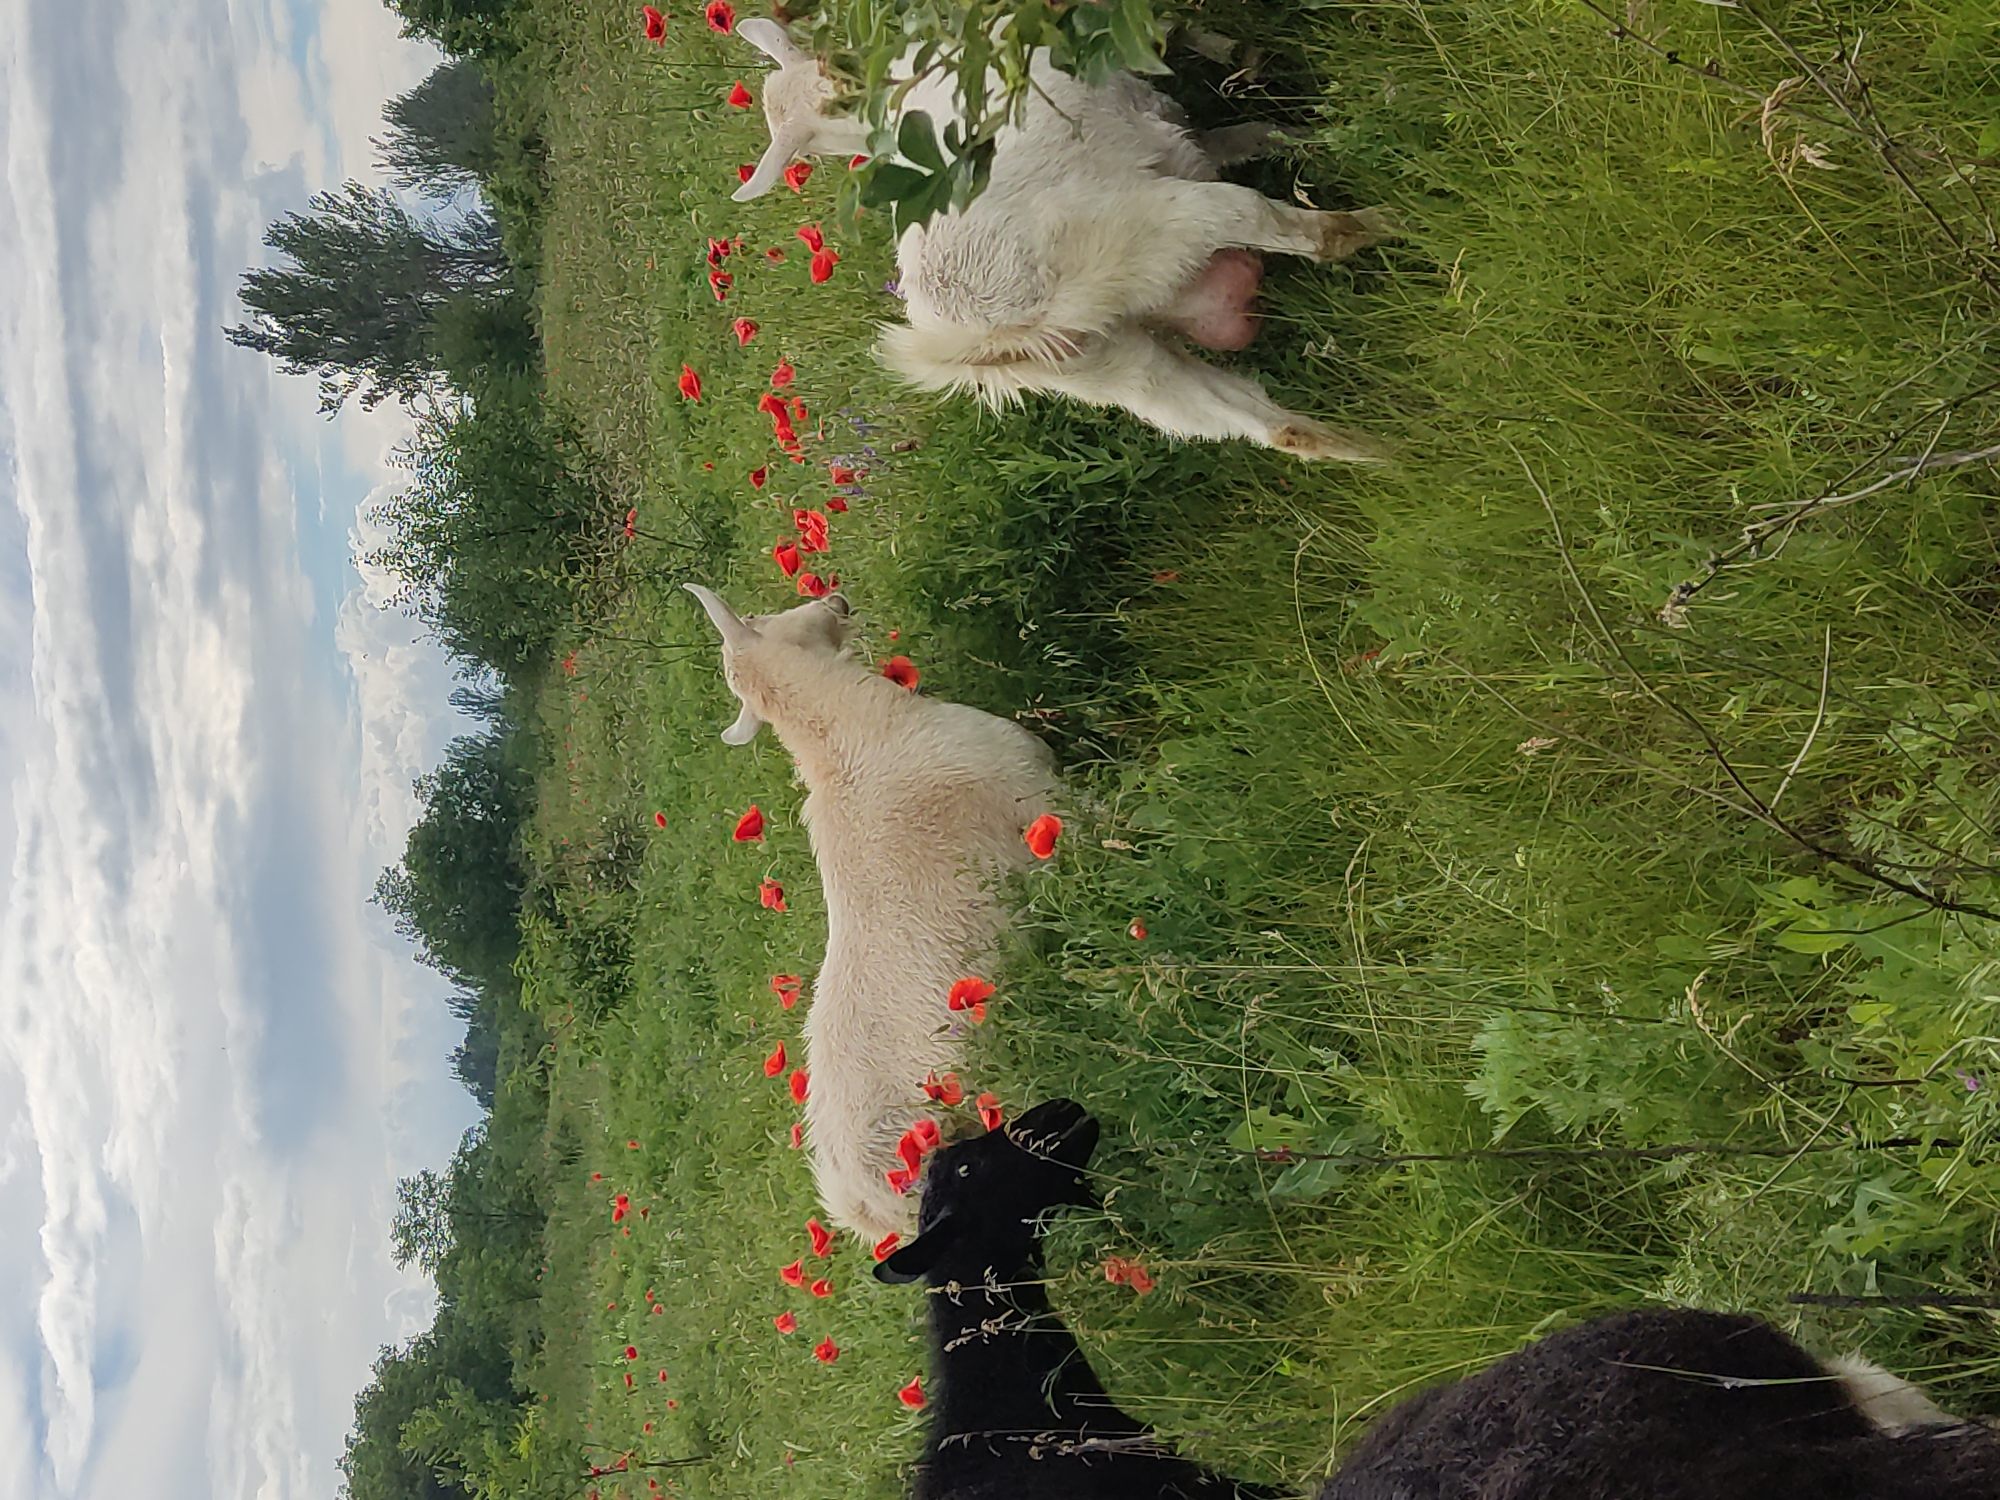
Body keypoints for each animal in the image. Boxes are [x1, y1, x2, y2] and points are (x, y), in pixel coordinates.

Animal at [730, 18, 1393, 463]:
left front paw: (1307, 129)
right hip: (1156, 226)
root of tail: (977, 334)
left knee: (1265, 424)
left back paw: (1389, 453)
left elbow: (1250, 133)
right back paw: (1393, 216)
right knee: (1310, 233)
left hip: (1104, 366)